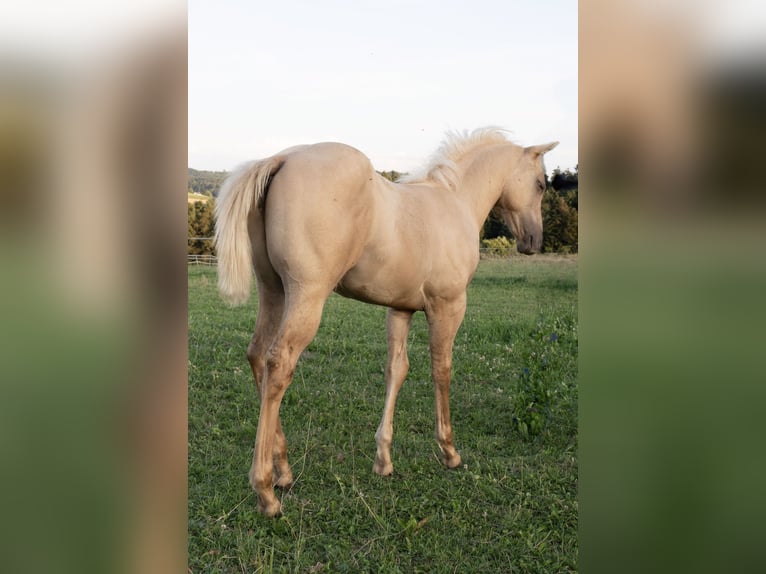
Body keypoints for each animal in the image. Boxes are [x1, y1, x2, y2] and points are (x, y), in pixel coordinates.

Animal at [214, 127, 560, 516]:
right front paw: (449, 451)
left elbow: (397, 370)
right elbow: (442, 369)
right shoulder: (448, 306)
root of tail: (281, 158)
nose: (534, 241)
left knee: (257, 355)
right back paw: (266, 490)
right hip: (306, 296)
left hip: (273, 291)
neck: (454, 200)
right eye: (540, 184)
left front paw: (384, 458)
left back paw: (283, 470)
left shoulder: (400, 310)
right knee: (278, 364)